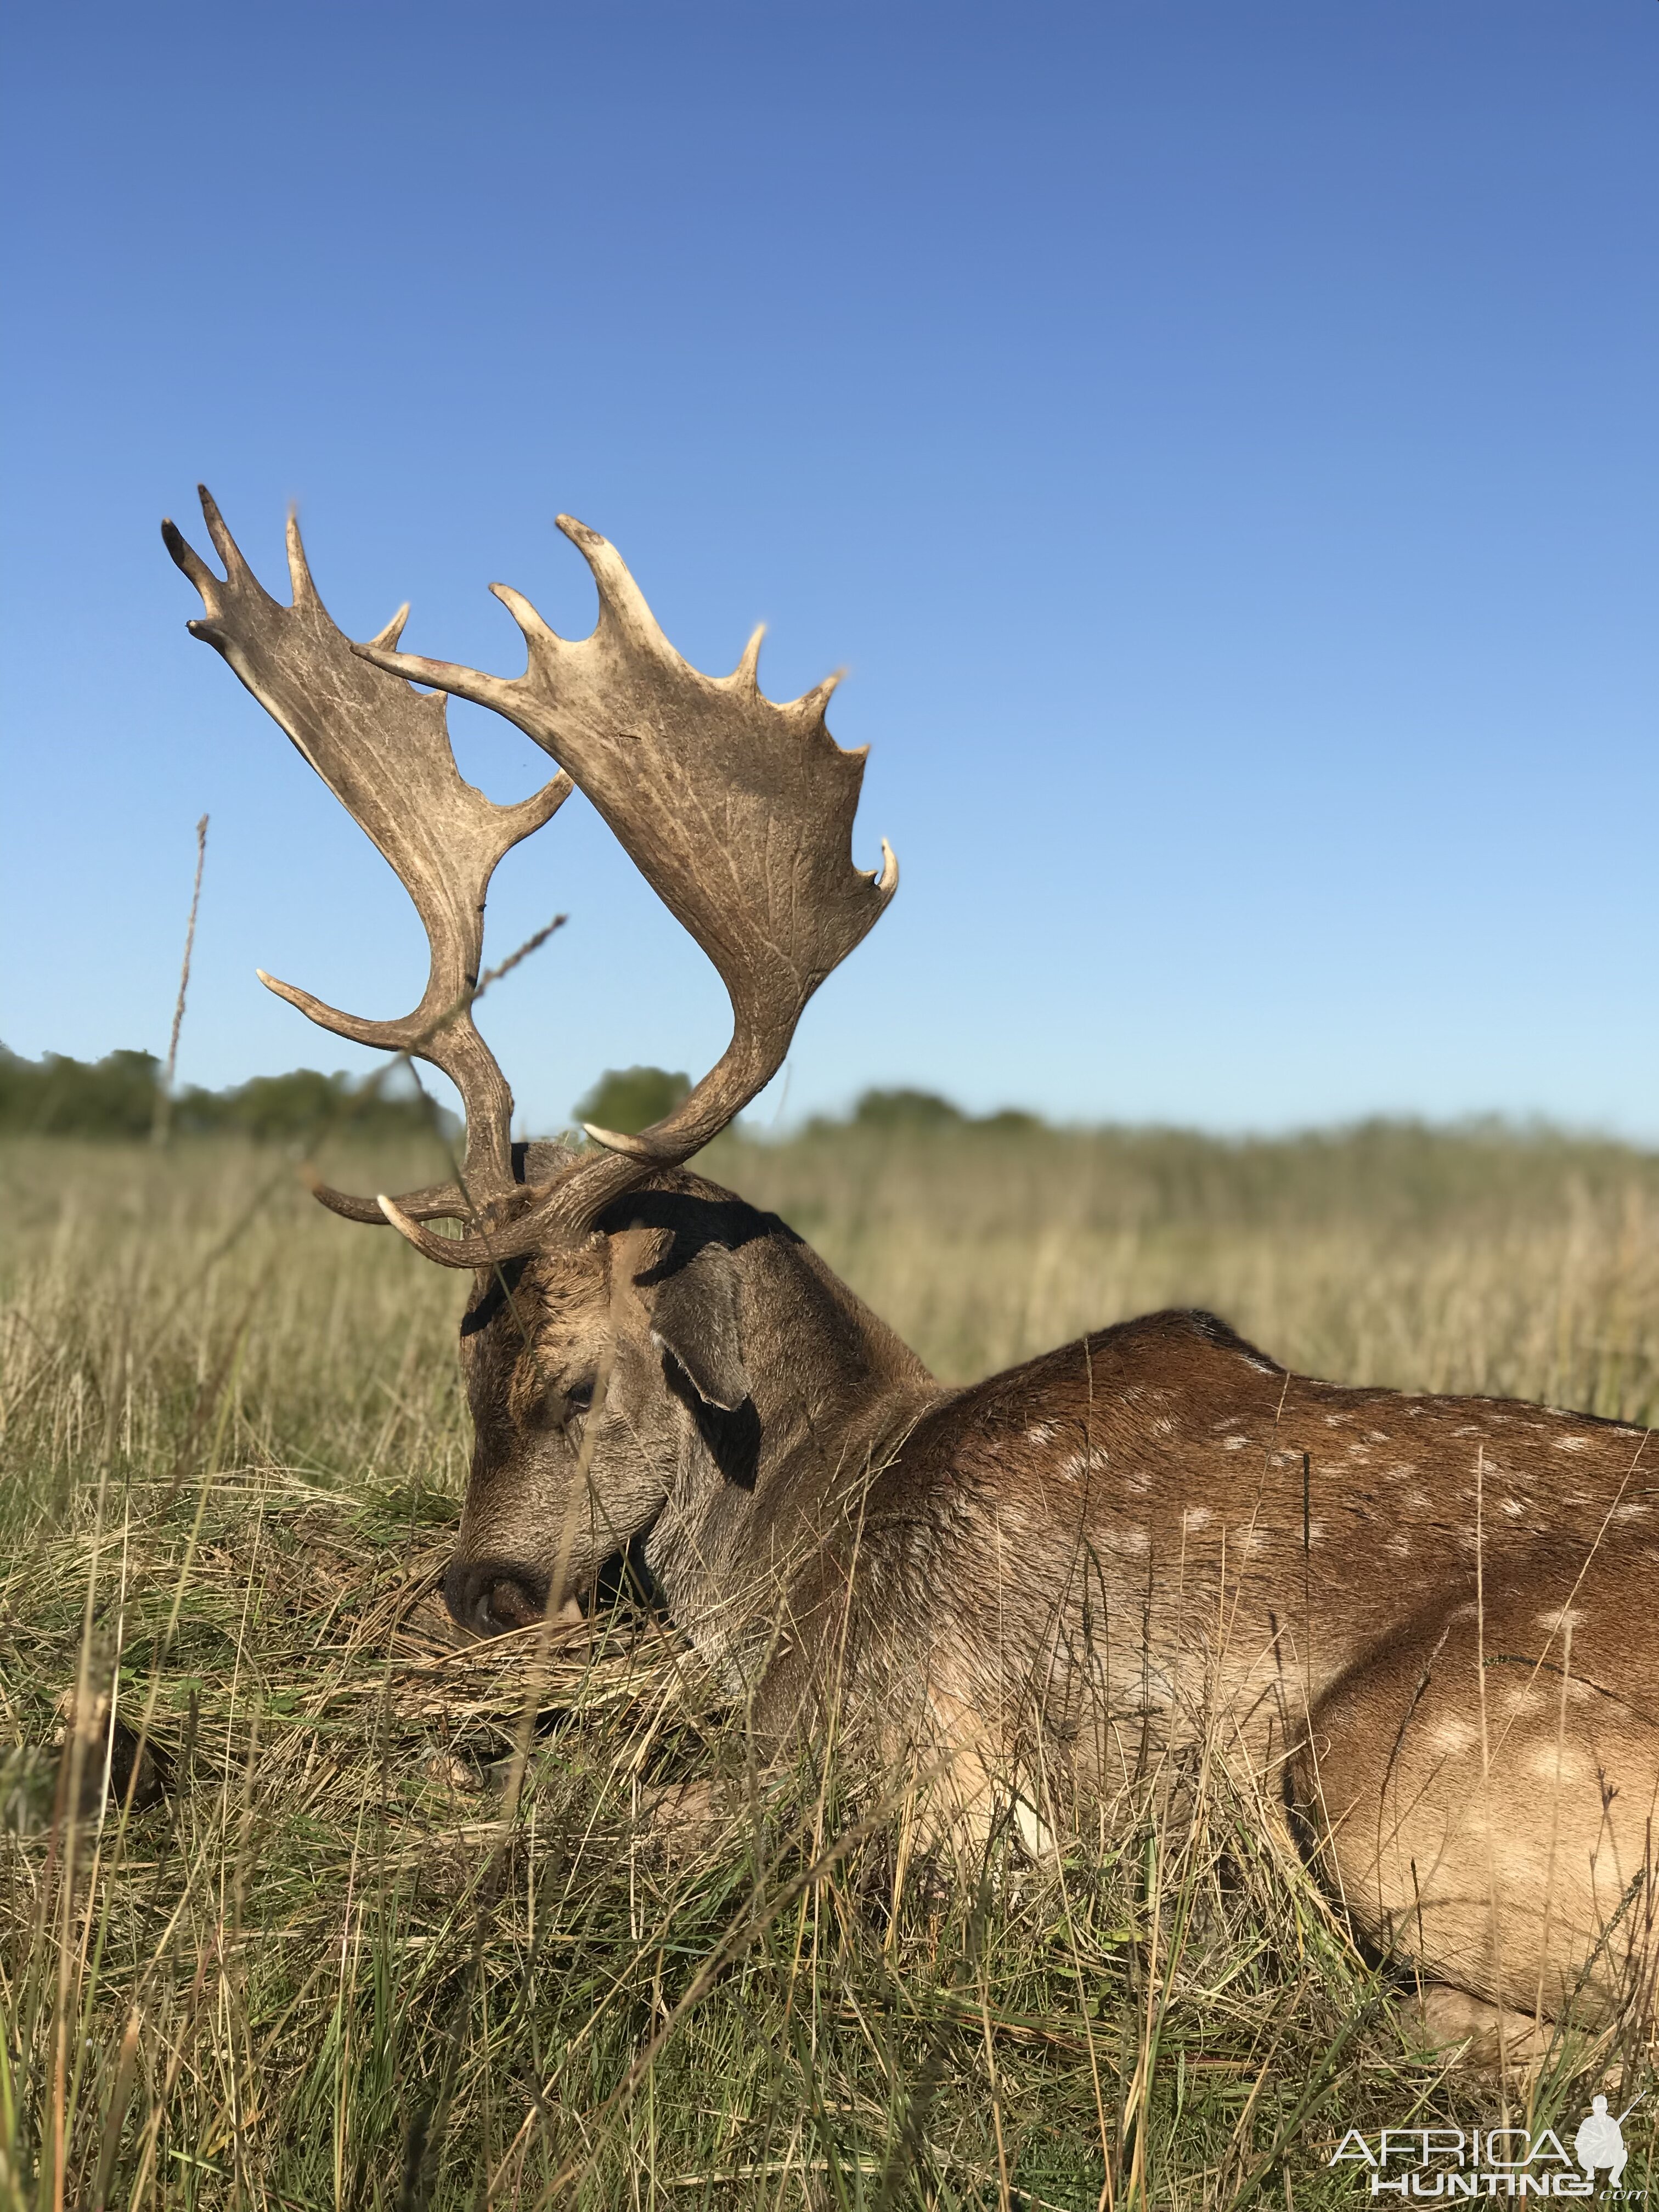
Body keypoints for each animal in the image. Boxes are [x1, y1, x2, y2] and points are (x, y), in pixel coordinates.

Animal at [172, 493, 1659, 2061]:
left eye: (576, 1383)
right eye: (460, 1360)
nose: (479, 1591)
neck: (806, 1524)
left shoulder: (871, 1749)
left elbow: (558, 1816)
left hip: (1407, 1759)